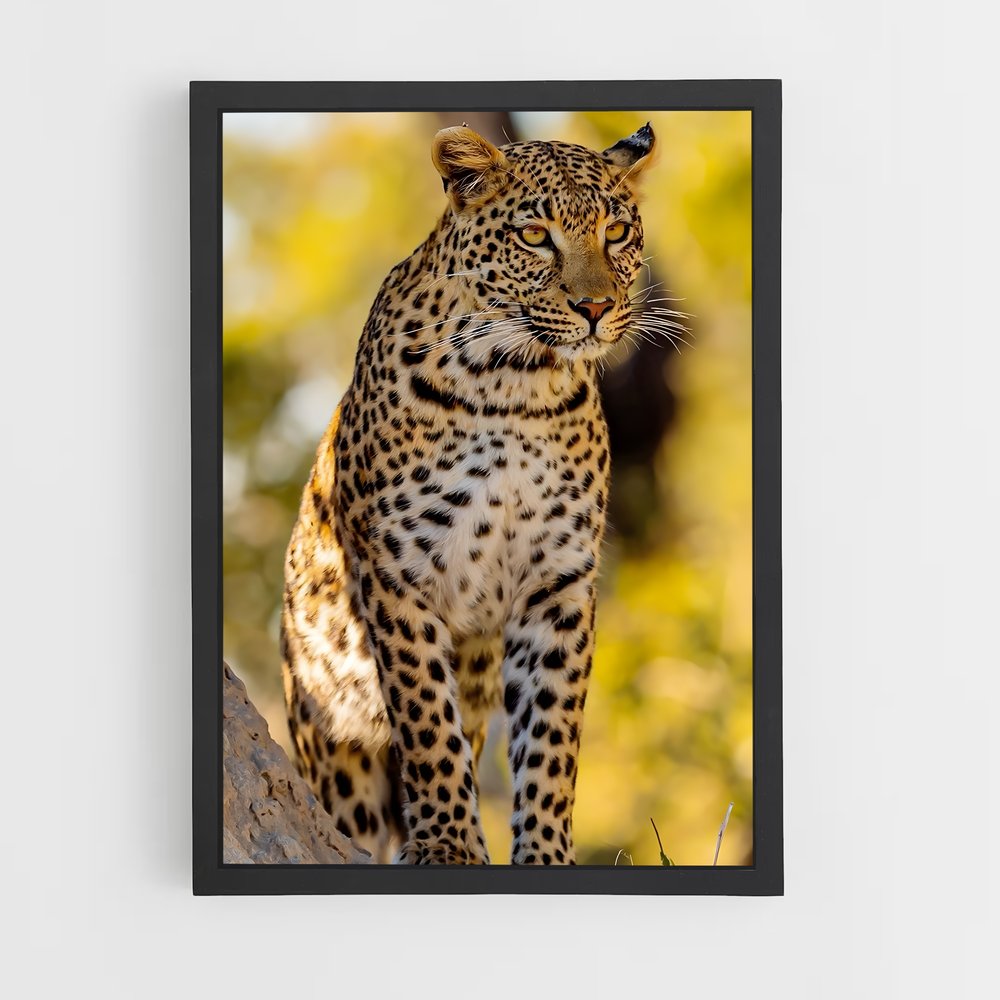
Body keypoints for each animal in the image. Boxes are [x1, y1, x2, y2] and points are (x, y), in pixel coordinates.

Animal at [281, 121, 657, 864]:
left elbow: (551, 737)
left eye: (617, 231)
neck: (515, 386)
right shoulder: (400, 573)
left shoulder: (557, 582)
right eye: (535, 235)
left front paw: (545, 855)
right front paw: (451, 846)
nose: (595, 308)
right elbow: (429, 722)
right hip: (329, 742)